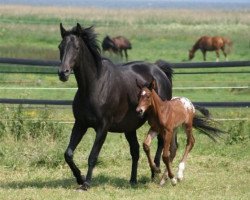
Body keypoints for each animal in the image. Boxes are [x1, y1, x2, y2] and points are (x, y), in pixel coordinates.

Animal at [57, 22, 174, 190]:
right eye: (60, 46)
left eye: (77, 47)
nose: (63, 73)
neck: (94, 85)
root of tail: (159, 71)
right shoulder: (80, 124)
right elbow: (68, 154)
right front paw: (80, 178)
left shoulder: (102, 127)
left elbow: (93, 155)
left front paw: (86, 183)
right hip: (129, 128)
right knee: (135, 151)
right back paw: (133, 180)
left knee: (160, 143)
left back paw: (155, 172)